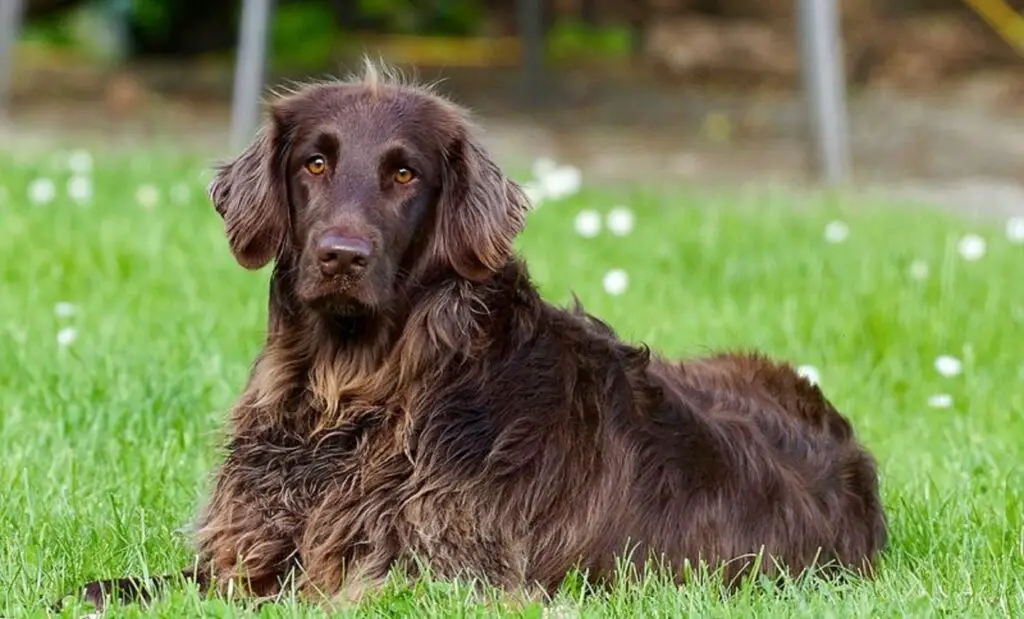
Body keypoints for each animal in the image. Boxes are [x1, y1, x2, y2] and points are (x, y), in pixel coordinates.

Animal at [59, 60, 884, 610]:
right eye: (315, 162)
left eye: (404, 175)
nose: (341, 255)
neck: (358, 393)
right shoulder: (252, 548)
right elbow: (126, 584)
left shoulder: (437, 577)